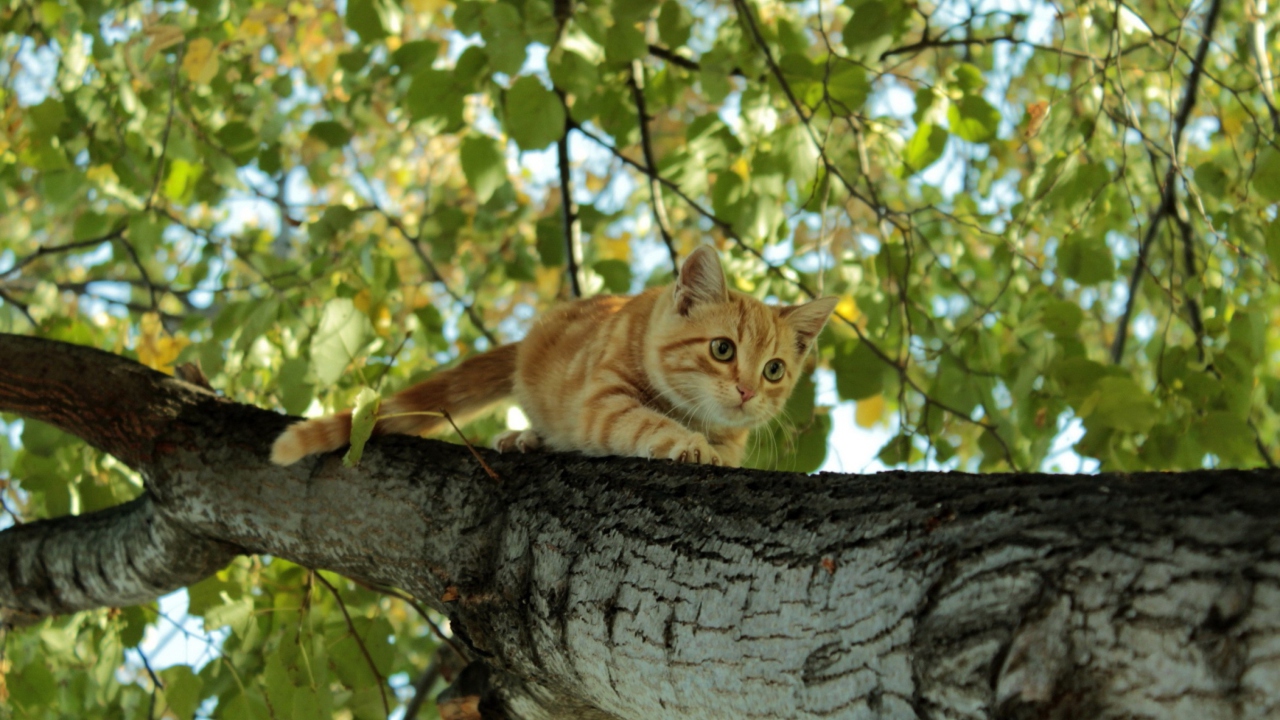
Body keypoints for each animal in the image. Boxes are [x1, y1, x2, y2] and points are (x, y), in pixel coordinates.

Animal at [270, 245, 839, 468]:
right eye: (722, 349)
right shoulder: (601, 400)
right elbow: (647, 421)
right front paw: (690, 444)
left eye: (773, 370)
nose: (746, 390)